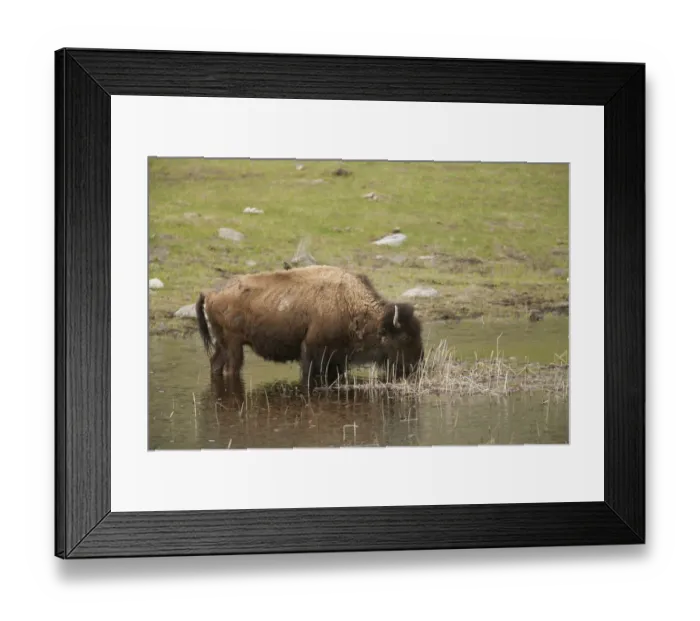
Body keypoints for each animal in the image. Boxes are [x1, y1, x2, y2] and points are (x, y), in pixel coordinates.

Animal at [195, 265, 424, 392]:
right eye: (404, 338)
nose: (416, 366)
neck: (348, 302)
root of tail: (211, 294)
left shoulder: (337, 360)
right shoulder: (312, 350)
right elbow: (308, 375)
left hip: (223, 345)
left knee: (215, 364)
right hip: (234, 345)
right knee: (231, 369)